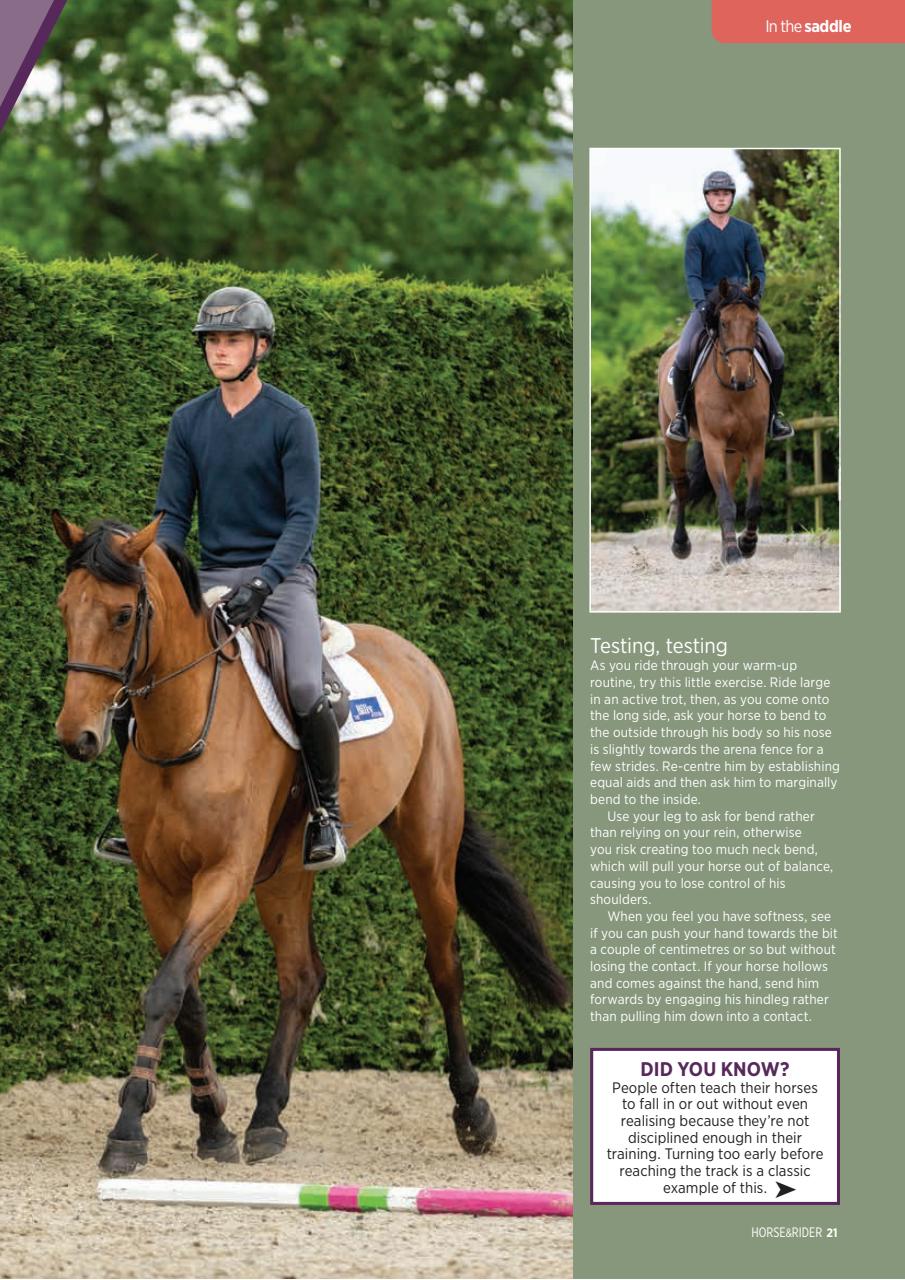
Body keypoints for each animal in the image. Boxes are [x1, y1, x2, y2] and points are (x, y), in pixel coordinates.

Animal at [52, 512, 569, 1175]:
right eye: (65, 607)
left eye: (122, 615)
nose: (77, 736)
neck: (186, 725)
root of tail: (414, 656)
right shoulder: (158, 883)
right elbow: (186, 995)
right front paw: (212, 1123)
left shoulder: (224, 877)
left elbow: (166, 989)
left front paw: (127, 1131)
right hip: (285, 874)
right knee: (302, 977)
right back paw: (266, 1118)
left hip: (427, 847)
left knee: (444, 966)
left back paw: (472, 1113)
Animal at [658, 278, 771, 565]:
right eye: (723, 323)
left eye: (754, 322)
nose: (741, 377)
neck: (735, 392)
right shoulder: (712, 444)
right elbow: (725, 502)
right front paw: (733, 553)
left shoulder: (755, 445)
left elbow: (752, 503)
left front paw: (746, 545)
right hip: (673, 442)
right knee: (682, 488)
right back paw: (681, 544)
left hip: (732, 450)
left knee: (727, 487)